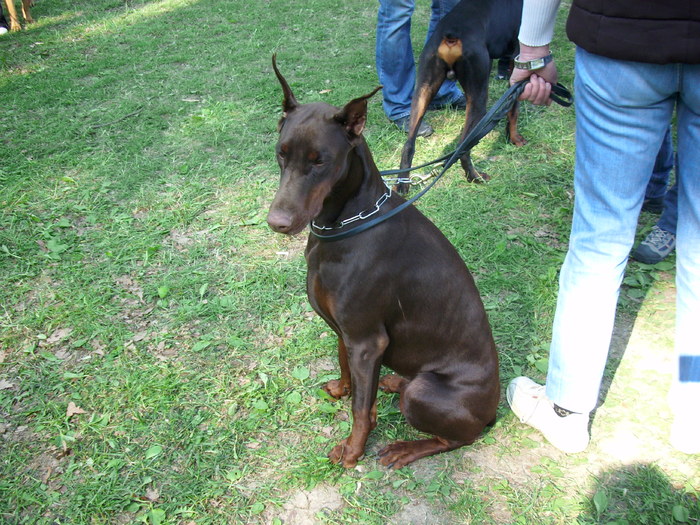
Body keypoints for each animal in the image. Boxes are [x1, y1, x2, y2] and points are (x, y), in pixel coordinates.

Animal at [266, 55, 500, 468]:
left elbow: (362, 409)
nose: (277, 222)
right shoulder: (346, 332)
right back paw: (393, 381)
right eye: (282, 152)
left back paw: (405, 447)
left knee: (457, 438)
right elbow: (346, 370)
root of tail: (496, 409)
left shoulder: (367, 340)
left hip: (427, 395)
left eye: (320, 161)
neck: (344, 226)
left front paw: (353, 450)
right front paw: (342, 389)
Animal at [400, 0, 524, 190]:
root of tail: (453, 32)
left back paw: (401, 186)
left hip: (423, 90)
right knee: (462, 148)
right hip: (478, 97)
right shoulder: (519, 58)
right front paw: (515, 138)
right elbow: (514, 108)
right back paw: (475, 177)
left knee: (408, 145)